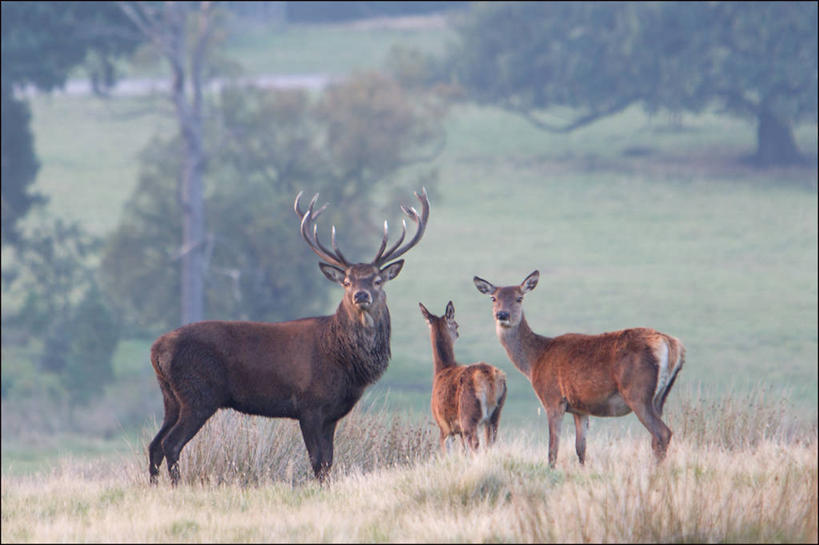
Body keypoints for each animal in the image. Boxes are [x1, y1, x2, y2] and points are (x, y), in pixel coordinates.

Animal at [149, 188, 430, 484]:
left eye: (377, 280)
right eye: (347, 282)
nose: (361, 295)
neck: (342, 357)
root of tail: (155, 350)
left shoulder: (332, 414)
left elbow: (329, 462)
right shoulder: (309, 405)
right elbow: (318, 462)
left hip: (172, 397)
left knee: (155, 444)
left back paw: (155, 487)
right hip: (198, 394)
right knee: (171, 443)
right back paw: (177, 485)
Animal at [420, 300, 510, 452]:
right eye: (456, 325)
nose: (458, 333)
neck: (441, 370)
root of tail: (490, 380)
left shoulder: (444, 426)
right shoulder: (456, 430)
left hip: (468, 415)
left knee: (475, 444)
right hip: (495, 415)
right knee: (490, 444)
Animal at [474, 270, 684, 466]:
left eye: (520, 298)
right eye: (493, 298)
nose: (502, 315)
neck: (534, 361)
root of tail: (671, 344)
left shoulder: (553, 399)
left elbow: (552, 451)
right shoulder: (580, 409)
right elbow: (580, 448)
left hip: (637, 392)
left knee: (662, 433)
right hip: (659, 397)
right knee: (656, 438)